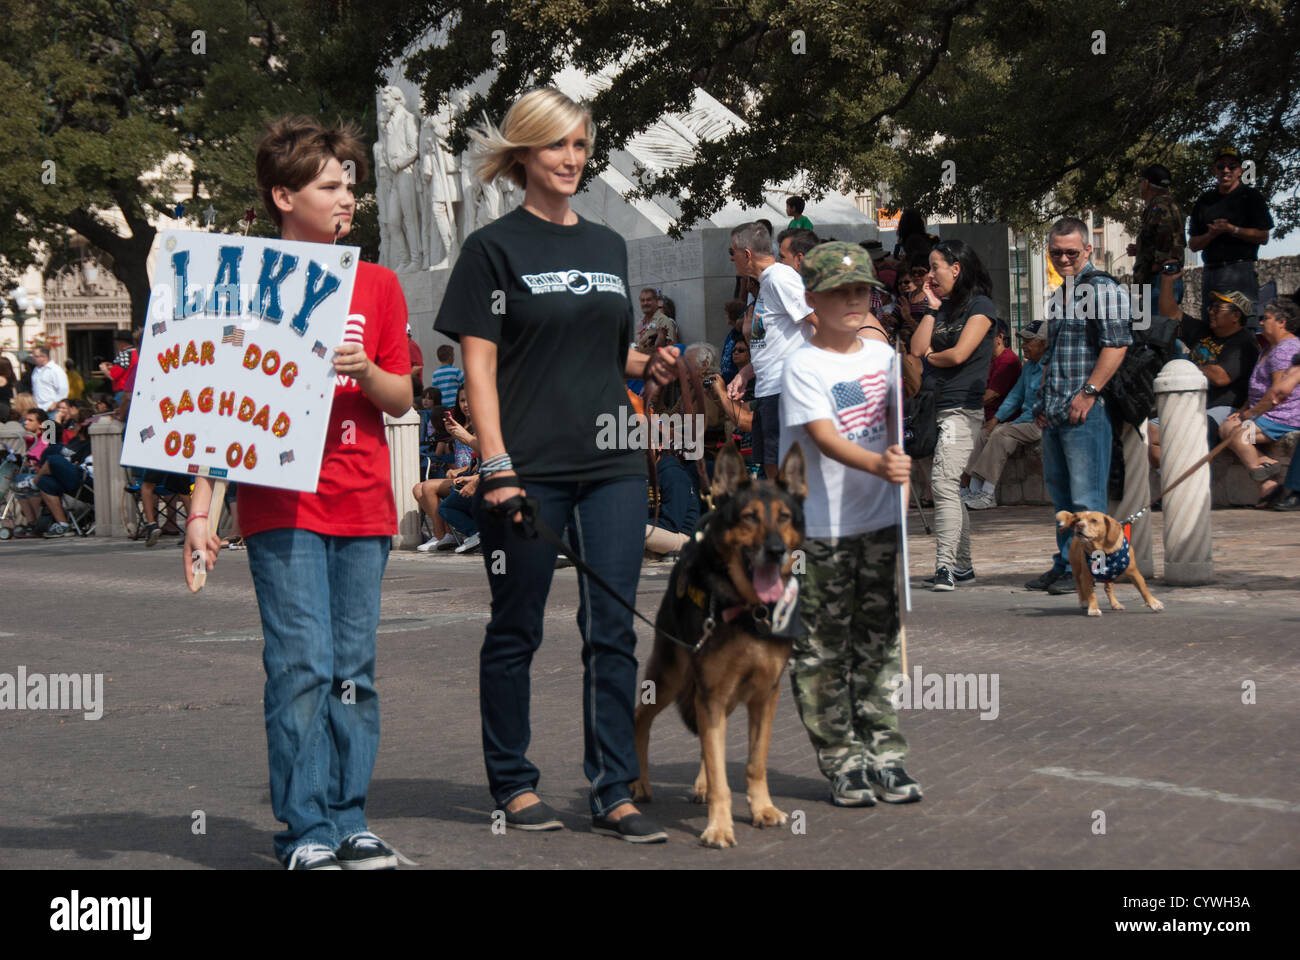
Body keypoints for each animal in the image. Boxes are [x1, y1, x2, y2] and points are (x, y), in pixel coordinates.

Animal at [629, 442, 800, 842]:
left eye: (784, 517)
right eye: (750, 518)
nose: (776, 550)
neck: (749, 610)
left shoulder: (763, 695)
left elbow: (753, 761)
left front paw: (762, 808)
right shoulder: (714, 692)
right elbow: (721, 769)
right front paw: (719, 827)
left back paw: (702, 784)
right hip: (670, 677)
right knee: (640, 717)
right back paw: (640, 783)